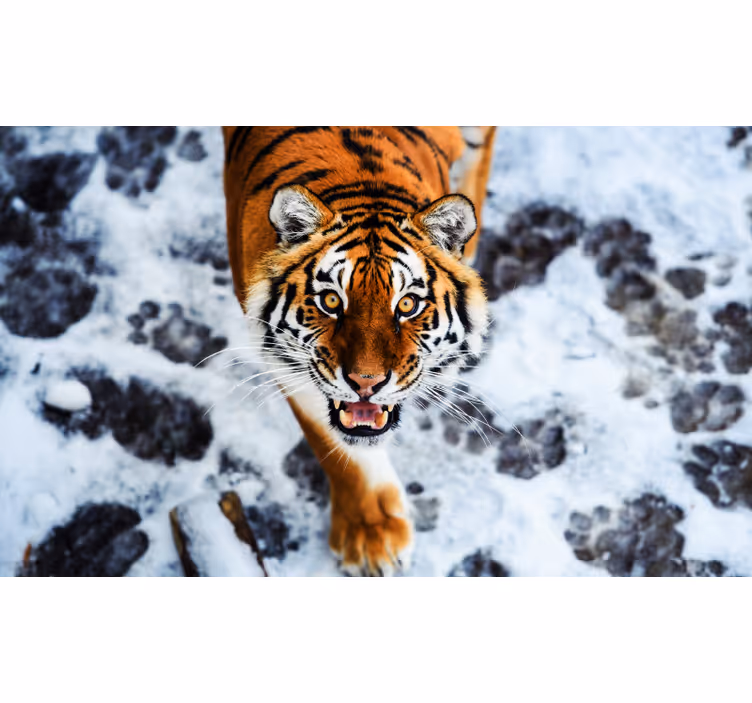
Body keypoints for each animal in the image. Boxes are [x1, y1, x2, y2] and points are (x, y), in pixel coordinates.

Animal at [221, 126, 497, 575]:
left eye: (407, 304)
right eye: (332, 301)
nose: (366, 382)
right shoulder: (287, 364)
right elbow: (337, 448)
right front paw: (373, 539)